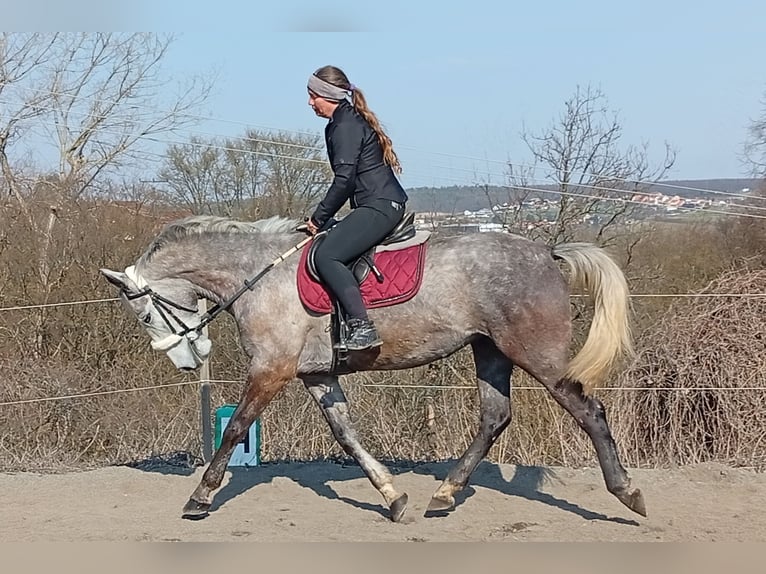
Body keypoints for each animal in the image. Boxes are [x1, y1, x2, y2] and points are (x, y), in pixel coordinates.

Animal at [100, 214, 646, 522]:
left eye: (144, 314)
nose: (187, 360)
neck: (257, 275)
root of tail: (546, 252)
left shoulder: (271, 370)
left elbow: (235, 429)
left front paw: (199, 498)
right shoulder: (317, 375)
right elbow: (347, 436)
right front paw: (393, 496)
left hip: (536, 355)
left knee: (589, 411)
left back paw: (628, 494)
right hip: (489, 351)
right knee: (494, 418)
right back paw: (443, 494)